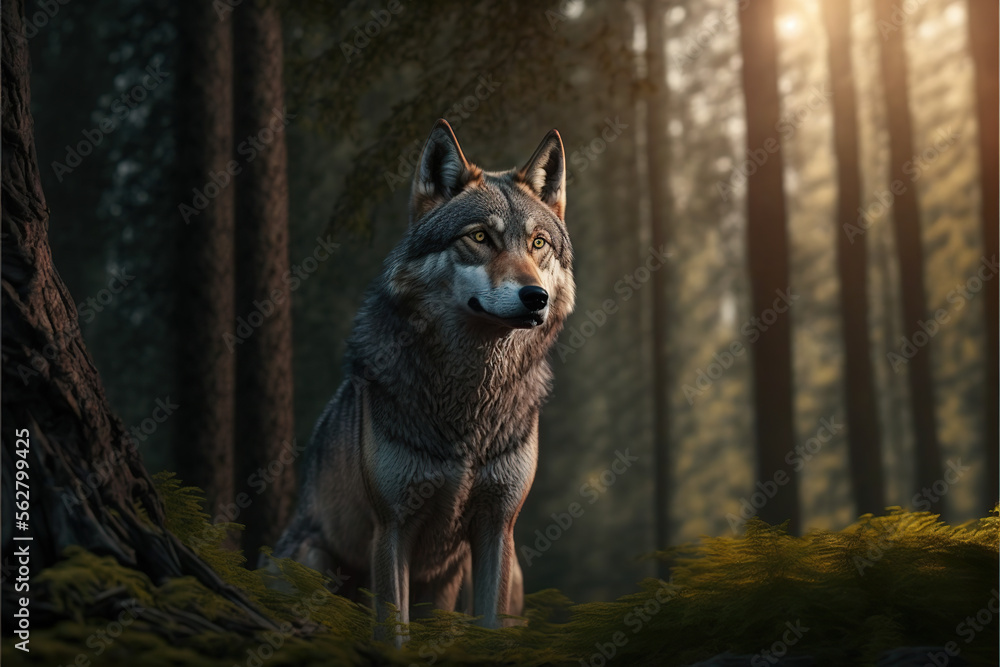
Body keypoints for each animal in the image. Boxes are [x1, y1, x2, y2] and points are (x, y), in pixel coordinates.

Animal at [272, 119, 575, 644]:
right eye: (480, 236)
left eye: (538, 243)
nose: (534, 297)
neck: (470, 403)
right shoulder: (392, 527)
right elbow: (395, 634)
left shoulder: (498, 528)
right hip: (312, 557)